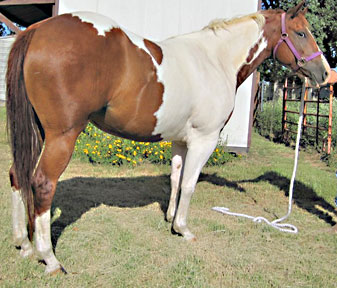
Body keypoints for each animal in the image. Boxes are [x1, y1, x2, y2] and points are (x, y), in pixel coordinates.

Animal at [6, 1, 330, 274]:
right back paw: (49, 258)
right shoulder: (204, 140)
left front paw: (171, 220)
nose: (325, 74)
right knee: (43, 183)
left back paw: (24, 244)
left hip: (36, 132)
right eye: (301, 32)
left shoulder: (181, 141)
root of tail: (37, 31)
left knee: (17, 175)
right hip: (62, 135)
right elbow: (189, 184)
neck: (215, 60)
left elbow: (175, 179)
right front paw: (184, 229)